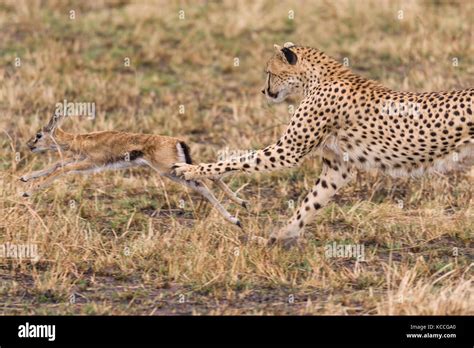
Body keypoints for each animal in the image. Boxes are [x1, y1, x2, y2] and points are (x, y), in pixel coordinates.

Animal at [174, 42, 474, 246]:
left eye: (269, 72)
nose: (264, 91)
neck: (317, 77)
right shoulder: (337, 166)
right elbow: (311, 202)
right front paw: (281, 237)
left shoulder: (288, 151)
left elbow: (238, 160)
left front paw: (189, 169)